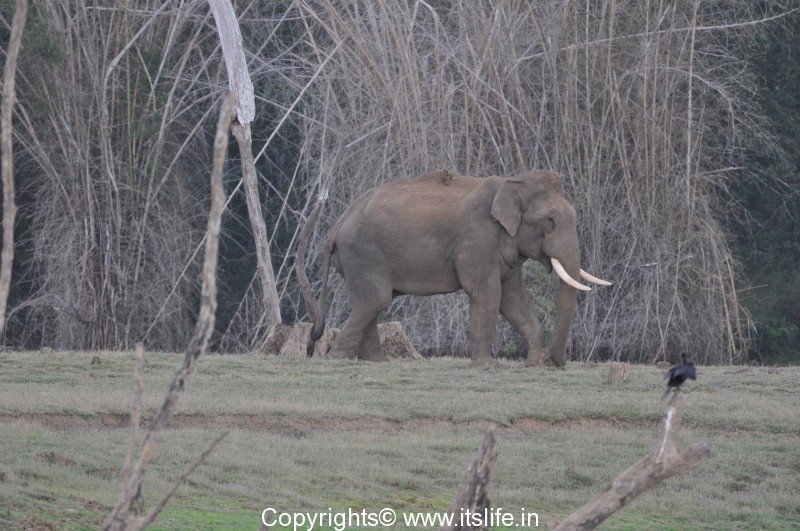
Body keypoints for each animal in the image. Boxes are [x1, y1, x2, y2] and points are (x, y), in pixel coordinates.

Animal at [297, 170, 611, 366]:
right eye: (550, 220)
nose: (555, 363)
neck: (510, 183)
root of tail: (338, 223)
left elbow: (513, 300)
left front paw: (531, 364)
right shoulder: (477, 239)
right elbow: (487, 294)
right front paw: (487, 367)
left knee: (370, 303)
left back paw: (377, 362)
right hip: (364, 254)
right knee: (376, 300)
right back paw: (336, 360)